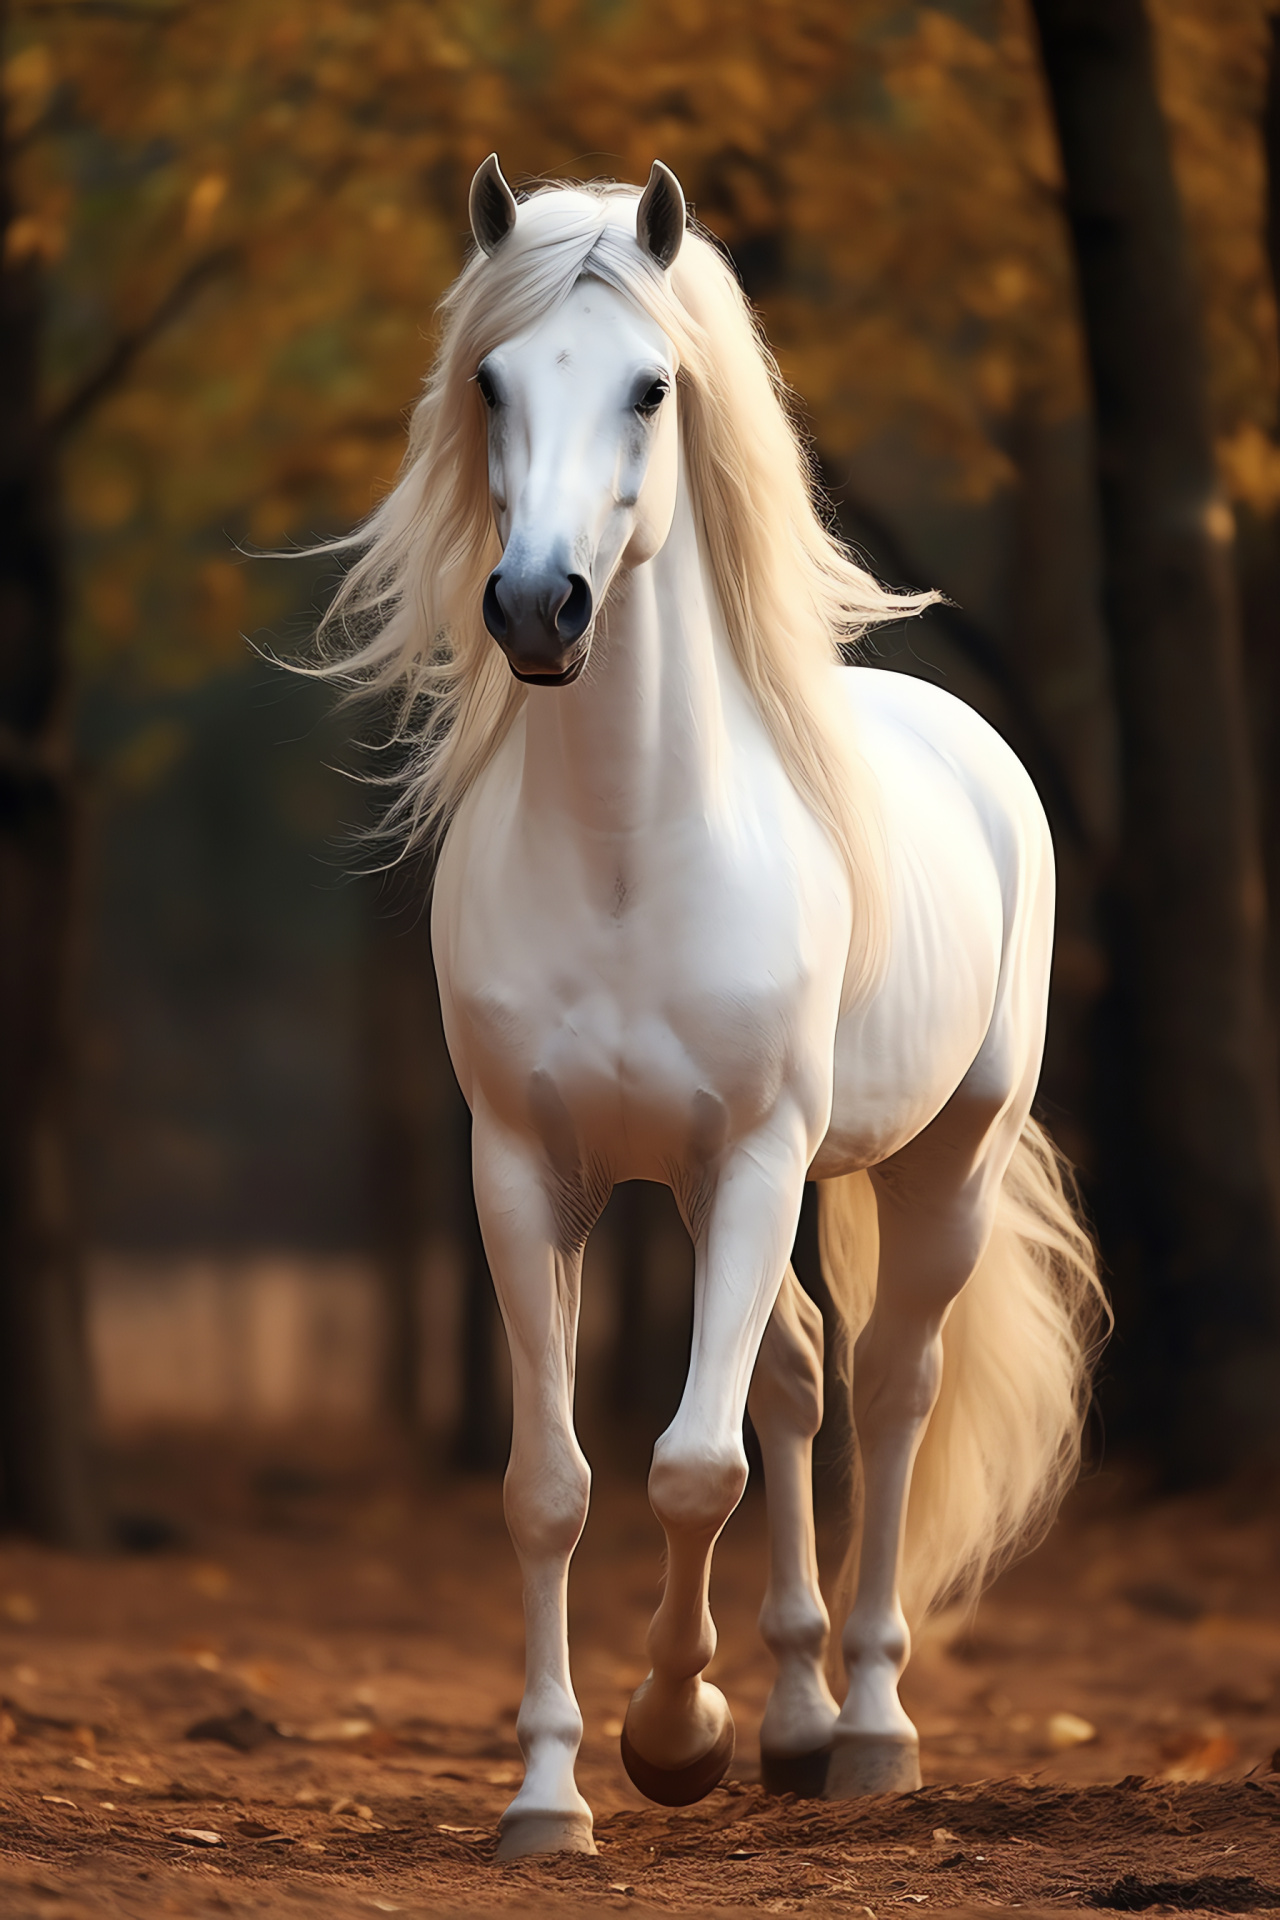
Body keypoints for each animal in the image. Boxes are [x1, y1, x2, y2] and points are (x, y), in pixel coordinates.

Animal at [314, 157, 1105, 1850]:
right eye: (489, 382)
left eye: (650, 386)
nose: (539, 609)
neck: (629, 855)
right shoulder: (529, 1179)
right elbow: (555, 1483)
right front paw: (552, 1794)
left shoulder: (748, 1161)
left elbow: (689, 1468)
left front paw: (674, 1734)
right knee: (799, 1372)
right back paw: (798, 1716)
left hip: (939, 1163)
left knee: (887, 1391)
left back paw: (866, 1725)